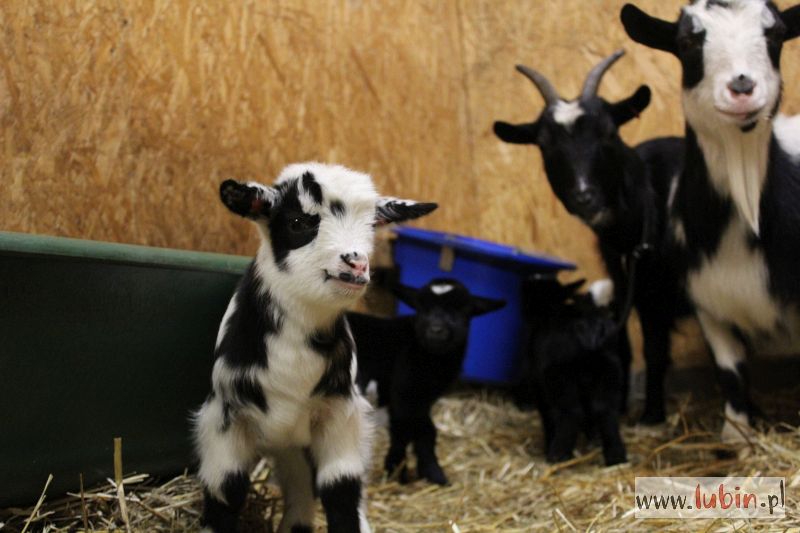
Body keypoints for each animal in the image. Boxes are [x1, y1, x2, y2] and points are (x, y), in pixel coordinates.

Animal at [193, 163, 438, 532]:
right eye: (298, 222)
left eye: (371, 226)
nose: (356, 263)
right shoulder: (225, 416)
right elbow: (226, 489)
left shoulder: (339, 415)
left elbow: (341, 490)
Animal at [494, 51, 688, 424]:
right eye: (544, 145)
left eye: (609, 132)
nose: (584, 196)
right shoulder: (628, 284)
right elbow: (633, 344)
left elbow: (656, 349)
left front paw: (652, 415)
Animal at [620, 0, 800, 440]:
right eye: (686, 42)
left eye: (775, 34)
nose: (742, 87)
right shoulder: (709, 303)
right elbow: (730, 371)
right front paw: (737, 434)